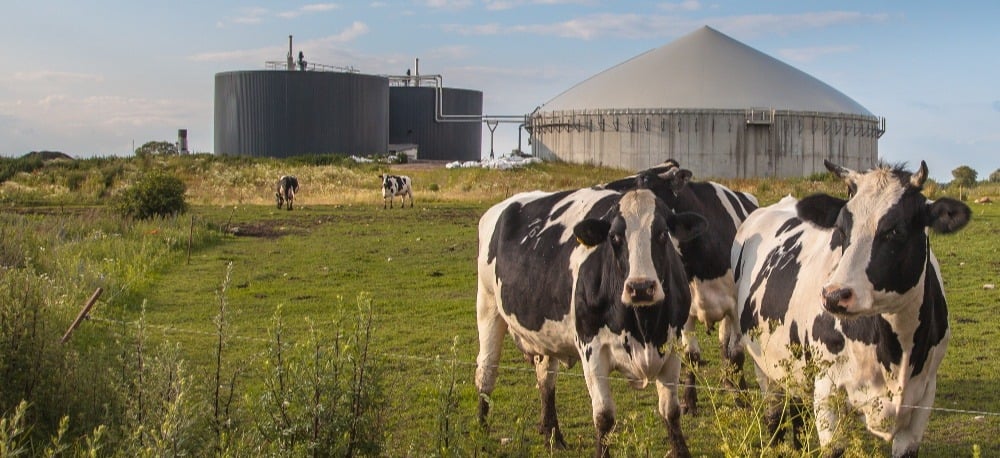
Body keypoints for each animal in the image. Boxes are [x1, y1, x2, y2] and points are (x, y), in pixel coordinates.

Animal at [474, 173, 704, 458]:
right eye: (615, 237)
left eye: (662, 234)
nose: (640, 287)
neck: (643, 327)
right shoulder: (591, 349)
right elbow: (604, 417)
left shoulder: (670, 347)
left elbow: (671, 412)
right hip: (488, 306)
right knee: (486, 372)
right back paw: (482, 433)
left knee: (546, 380)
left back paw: (553, 436)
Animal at [600, 159, 756, 414]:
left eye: (643, 179)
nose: (606, 189)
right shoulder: (685, 310)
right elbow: (691, 356)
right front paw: (689, 400)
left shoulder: (735, 307)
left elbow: (736, 354)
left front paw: (742, 398)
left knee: (727, 345)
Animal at [732, 160, 972, 454]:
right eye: (841, 230)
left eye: (895, 231)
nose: (835, 295)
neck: (896, 352)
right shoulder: (827, 391)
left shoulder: (922, 400)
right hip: (765, 363)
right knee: (774, 414)